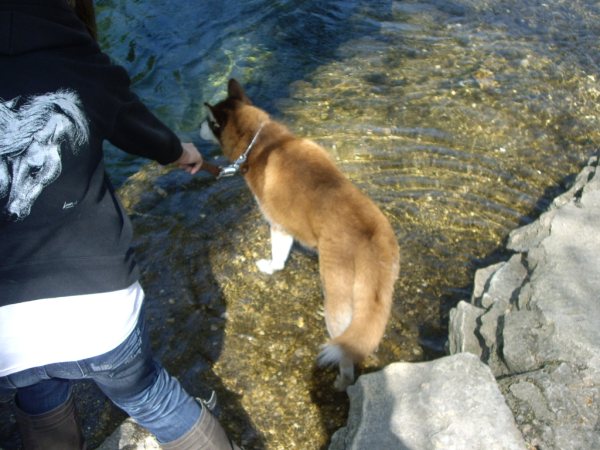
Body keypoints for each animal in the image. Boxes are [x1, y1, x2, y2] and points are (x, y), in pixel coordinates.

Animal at [200, 79, 400, 390]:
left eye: (208, 122)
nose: (195, 128)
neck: (262, 143)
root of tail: (370, 237)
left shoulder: (278, 226)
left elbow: (278, 260)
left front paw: (268, 268)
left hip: (336, 295)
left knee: (346, 352)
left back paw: (341, 382)